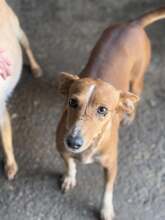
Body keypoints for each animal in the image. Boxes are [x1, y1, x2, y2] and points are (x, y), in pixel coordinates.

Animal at [55, 7, 165, 220]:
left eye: (103, 110)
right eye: (72, 102)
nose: (73, 142)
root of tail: (132, 24)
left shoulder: (111, 165)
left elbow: (107, 190)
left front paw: (106, 210)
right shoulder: (61, 150)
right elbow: (69, 164)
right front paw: (69, 177)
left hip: (137, 80)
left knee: (134, 99)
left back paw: (129, 114)